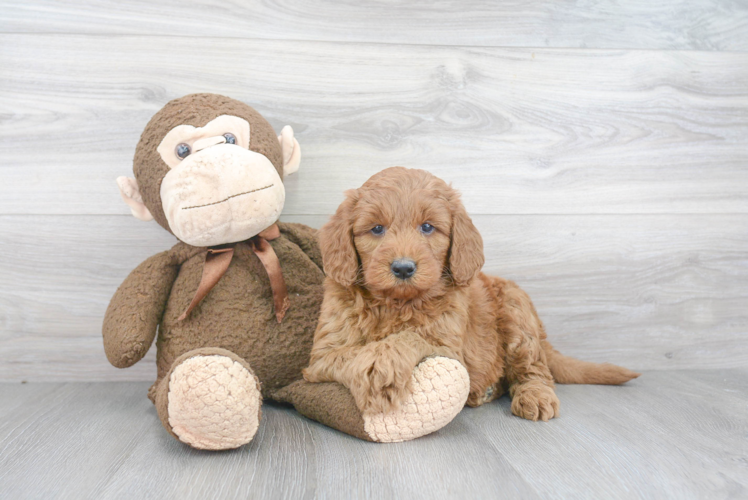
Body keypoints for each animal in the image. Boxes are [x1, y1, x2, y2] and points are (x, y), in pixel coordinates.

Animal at [302, 168, 636, 422]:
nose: (403, 268)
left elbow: (410, 336)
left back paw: (535, 396)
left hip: (517, 312)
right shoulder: (321, 357)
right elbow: (351, 352)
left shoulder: (450, 349)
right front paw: (374, 366)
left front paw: (381, 365)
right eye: (376, 229)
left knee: (534, 369)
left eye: (427, 227)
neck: (396, 302)